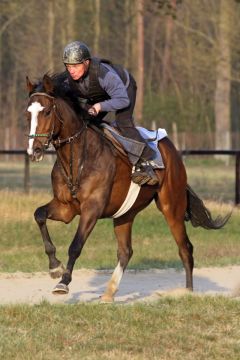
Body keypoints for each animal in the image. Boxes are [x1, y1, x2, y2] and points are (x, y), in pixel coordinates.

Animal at [25, 74, 230, 302]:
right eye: (28, 113)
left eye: (47, 111)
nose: (34, 150)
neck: (78, 158)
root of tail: (172, 149)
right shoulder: (65, 207)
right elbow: (39, 215)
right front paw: (54, 266)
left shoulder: (92, 209)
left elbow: (76, 245)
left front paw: (63, 282)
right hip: (125, 213)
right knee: (126, 251)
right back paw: (109, 292)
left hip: (172, 207)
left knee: (185, 248)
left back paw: (187, 292)